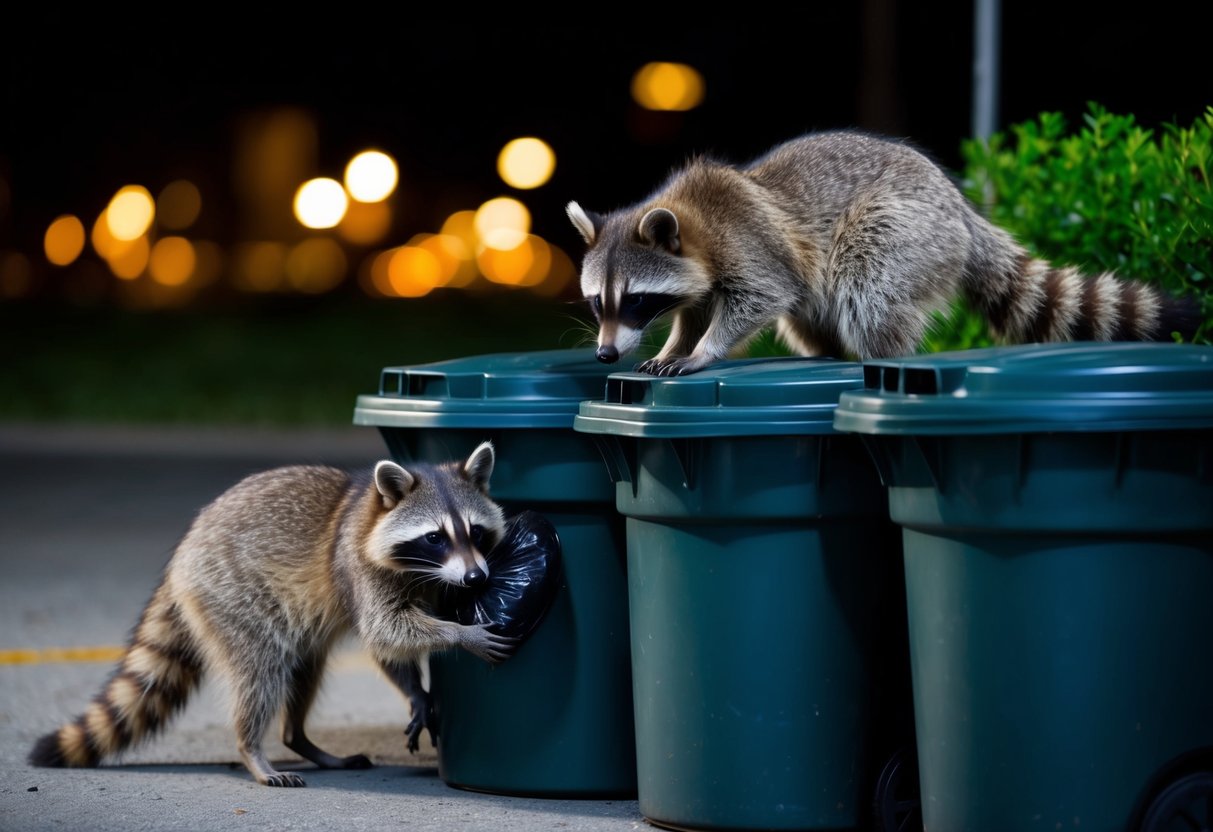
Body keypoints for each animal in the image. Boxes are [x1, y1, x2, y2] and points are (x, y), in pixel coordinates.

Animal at [28, 442, 513, 787]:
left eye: (475, 531)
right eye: (435, 537)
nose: (475, 577)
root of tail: (182, 554)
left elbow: (387, 647)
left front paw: (416, 689)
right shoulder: (359, 569)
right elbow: (385, 630)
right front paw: (460, 634)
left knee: (304, 670)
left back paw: (298, 738)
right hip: (232, 596)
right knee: (261, 672)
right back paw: (252, 749)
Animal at [567, 130, 1200, 375]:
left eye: (635, 299)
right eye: (599, 303)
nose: (604, 354)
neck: (691, 218)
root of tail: (960, 209)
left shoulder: (747, 242)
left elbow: (761, 297)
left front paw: (704, 350)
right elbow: (696, 309)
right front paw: (677, 342)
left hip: (908, 230)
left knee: (866, 286)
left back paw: (879, 357)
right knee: (812, 313)